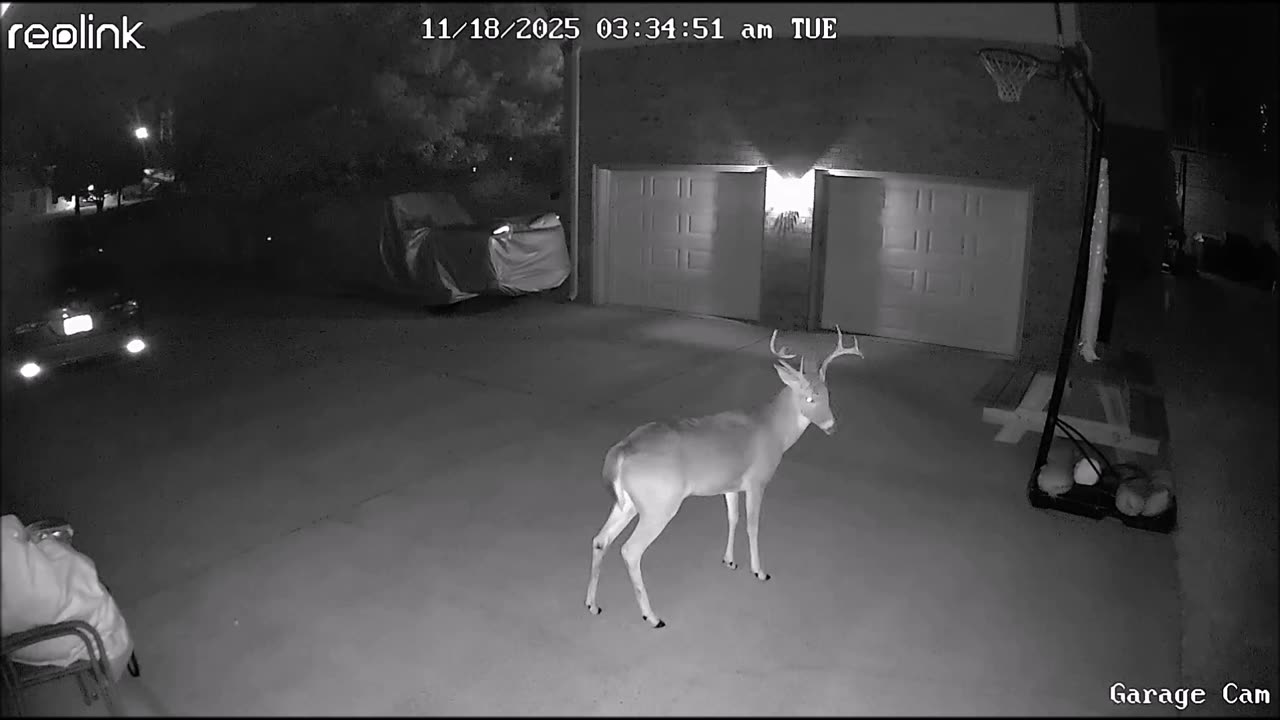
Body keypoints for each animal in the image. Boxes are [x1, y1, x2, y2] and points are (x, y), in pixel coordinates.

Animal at [584, 327, 864, 628]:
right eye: (809, 398)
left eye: (827, 393)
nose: (832, 426)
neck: (774, 431)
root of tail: (620, 452)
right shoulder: (757, 481)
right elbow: (752, 525)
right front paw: (759, 571)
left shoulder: (730, 486)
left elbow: (733, 518)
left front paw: (729, 560)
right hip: (659, 504)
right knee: (630, 550)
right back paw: (652, 616)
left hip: (627, 502)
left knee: (600, 539)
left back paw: (592, 604)